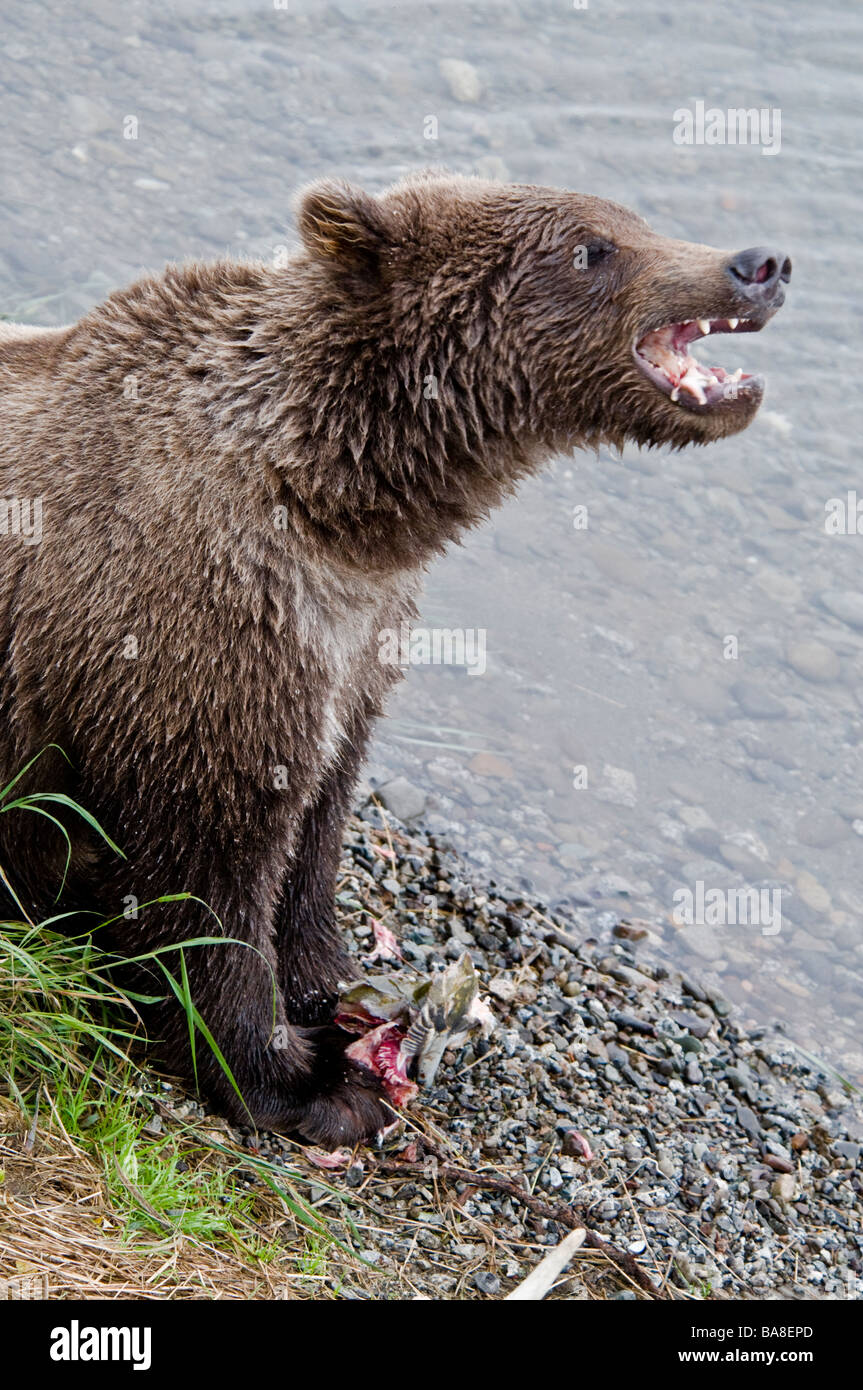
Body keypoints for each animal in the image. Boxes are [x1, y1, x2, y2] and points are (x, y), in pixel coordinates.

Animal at [0, 173, 789, 1145]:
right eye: (591, 249)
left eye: (633, 218)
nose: (759, 262)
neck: (342, 510)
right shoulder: (196, 637)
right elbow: (206, 878)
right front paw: (298, 1076)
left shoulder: (356, 651)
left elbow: (313, 837)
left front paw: (336, 993)